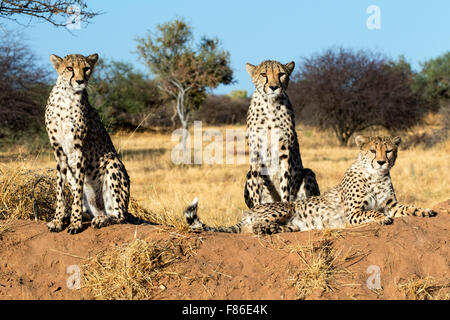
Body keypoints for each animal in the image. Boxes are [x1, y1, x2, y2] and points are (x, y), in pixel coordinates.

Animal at [45, 53, 145, 234]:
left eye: (86, 68)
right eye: (69, 68)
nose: (80, 81)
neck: (66, 97)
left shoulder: (79, 151)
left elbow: (77, 192)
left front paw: (75, 223)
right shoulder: (59, 152)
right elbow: (59, 190)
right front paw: (58, 220)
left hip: (113, 164)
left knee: (119, 216)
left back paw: (101, 219)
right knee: (92, 210)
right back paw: (82, 215)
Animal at [185, 136, 436, 235]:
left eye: (389, 150)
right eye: (373, 151)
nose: (382, 161)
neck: (376, 175)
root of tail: (248, 212)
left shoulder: (392, 204)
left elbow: (408, 208)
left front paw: (426, 211)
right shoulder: (353, 213)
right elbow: (372, 212)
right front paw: (381, 218)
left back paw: (284, 229)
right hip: (285, 207)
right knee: (252, 228)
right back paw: (273, 229)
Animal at [243, 60, 320, 210]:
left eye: (281, 74)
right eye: (263, 74)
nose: (274, 87)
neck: (270, 105)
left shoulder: (284, 151)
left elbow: (285, 183)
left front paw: (284, 206)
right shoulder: (255, 152)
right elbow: (255, 187)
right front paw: (257, 209)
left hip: (308, 173)